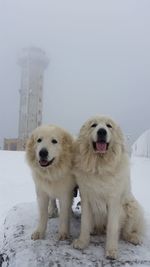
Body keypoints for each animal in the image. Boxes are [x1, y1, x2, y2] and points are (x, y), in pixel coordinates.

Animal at [73, 116, 145, 260]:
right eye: (93, 125)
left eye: (109, 126)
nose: (102, 131)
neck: (100, 166)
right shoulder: (86, 198)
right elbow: (84, 223)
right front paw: (83, 242)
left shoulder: (114, 201)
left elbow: (112, 228)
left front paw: (111, 251)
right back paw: (94, 231)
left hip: (132, 206)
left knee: (126, 231)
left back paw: (133, 237)